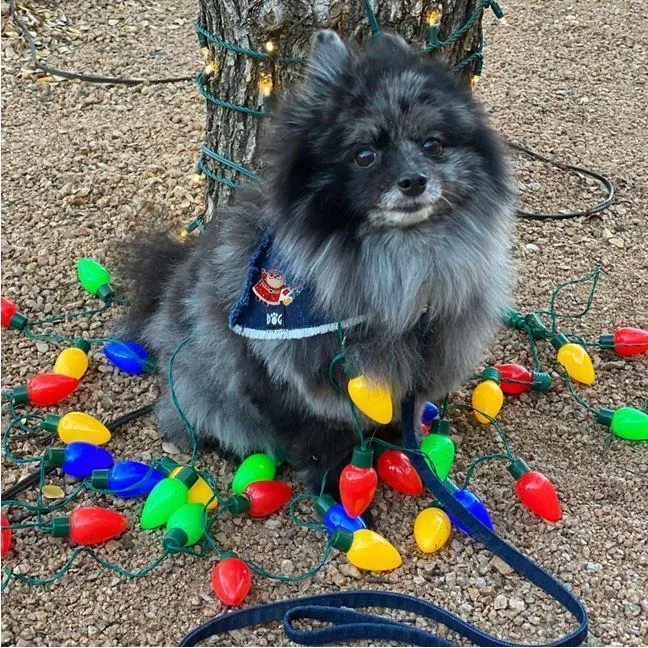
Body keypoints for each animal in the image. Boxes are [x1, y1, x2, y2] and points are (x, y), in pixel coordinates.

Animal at [121, 27, 516, 488]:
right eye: (365, 155)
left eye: (432, 145)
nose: (414, 180)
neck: (398, 266)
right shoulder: (278, 376)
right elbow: (315, 437)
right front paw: (332, 486)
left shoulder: (417, 366)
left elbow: (404, 414)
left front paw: (405, 451)